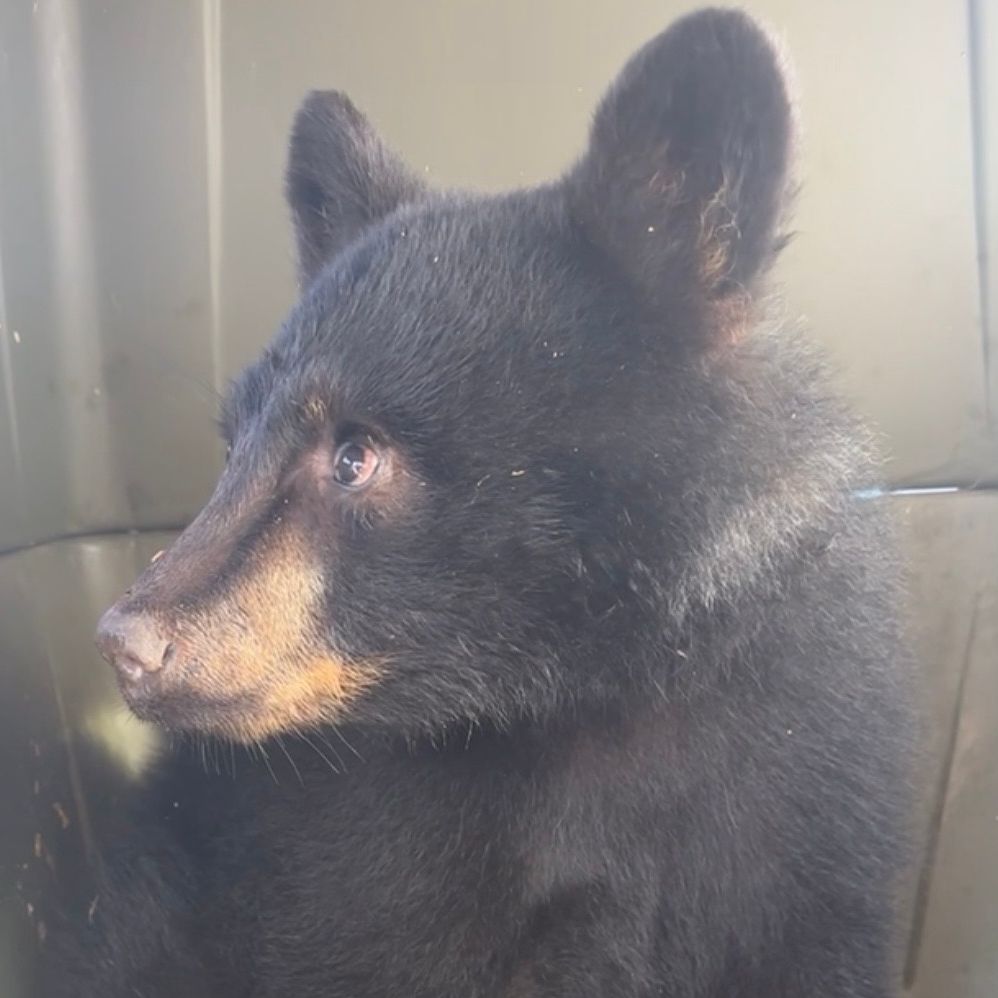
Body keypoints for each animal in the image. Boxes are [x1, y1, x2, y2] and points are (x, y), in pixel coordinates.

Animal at [44, 7, 916, 997]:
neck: (561, 701)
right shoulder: (329, 864)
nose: (124, 643)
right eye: (234, 444)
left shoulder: (796, 812)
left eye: (356, 454)